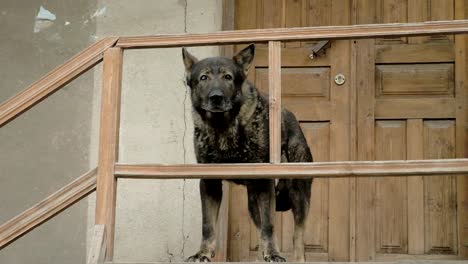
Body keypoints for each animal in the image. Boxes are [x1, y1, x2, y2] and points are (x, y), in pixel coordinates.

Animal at [183, 44, 314, 260]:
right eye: (203, 78)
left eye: (228, 77)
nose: (216, 97)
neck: (223, 128)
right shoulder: (209, 184)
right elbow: (207, 225)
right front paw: (203, 252)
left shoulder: (264, 185)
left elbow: (269, 226)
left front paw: (273, 254)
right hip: (253, 204)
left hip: (297, 195)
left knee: (297, 238)